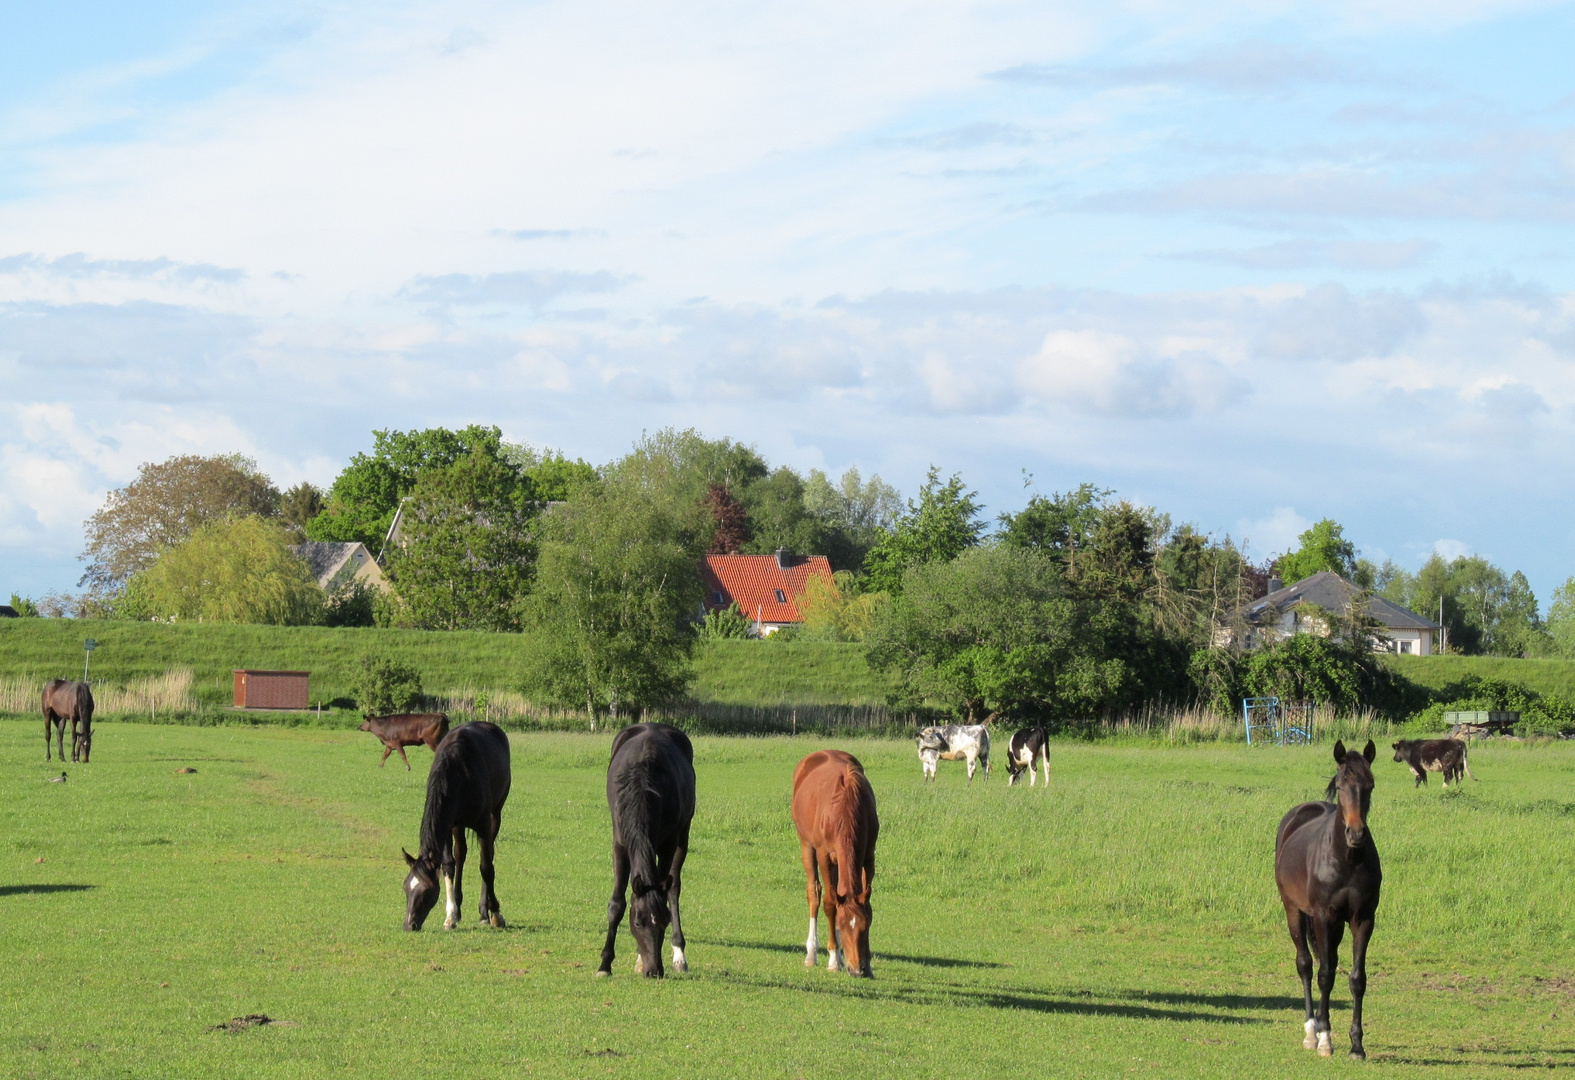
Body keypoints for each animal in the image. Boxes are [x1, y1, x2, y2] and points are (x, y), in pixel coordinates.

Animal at [400, 717, 510, 932]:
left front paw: (495, 914)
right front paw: (451, 916)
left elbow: (486, 867)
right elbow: (449, 864)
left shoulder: (483, 824)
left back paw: (485, 912)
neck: (459, 771)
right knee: (461, 855)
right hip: (459, 826)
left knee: (489, 857)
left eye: (426, 890)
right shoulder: (449, 824)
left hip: (495, 815)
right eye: (406, 887)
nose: (409, 925)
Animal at [595, 727, 696, 982]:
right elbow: (617, 904)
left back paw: (679, 955)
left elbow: (666, 890)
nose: (654, 971)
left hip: (683, 836)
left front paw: (642, 959)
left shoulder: (668, 844)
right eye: (638, 923)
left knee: (673, 887)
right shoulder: (620, 844)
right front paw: (605, 964)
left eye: (664, 921)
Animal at [793, 752, 882, 982]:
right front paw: (834, 959)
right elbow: (830, 904)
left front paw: (869, 965)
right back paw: (812, 954)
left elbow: (867, 903)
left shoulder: (868, 856)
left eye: (865, 927)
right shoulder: (824, 855)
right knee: (814, 893)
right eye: (841, 927)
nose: (856, 970)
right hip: (807, 845)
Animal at [1272, 739, 1386, 1064]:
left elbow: (1357, 979)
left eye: (1370, 785)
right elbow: (1324, 975)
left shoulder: (1363, 919)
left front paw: (1357, 1046)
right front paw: (1325, 1039)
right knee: (1307, 965)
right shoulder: (1323, 916)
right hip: (1295, 911)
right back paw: (1312, 1031)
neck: (1346, 860)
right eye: (1340, 785)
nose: (1356, 833)